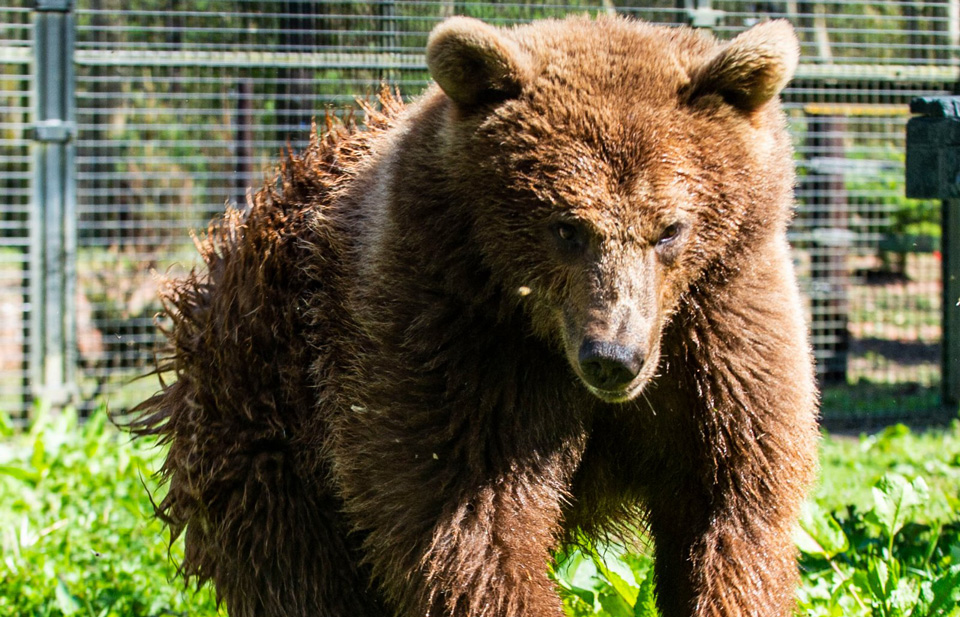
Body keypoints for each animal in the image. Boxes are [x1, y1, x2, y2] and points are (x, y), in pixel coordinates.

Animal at [127, 13, 816, 616]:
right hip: (267, 415)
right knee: (302, 570)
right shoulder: (454, 335)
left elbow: (728, 509)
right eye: (567, 227)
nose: (613, 358)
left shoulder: (720, 328)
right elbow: (471, 524)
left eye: (670, 228)